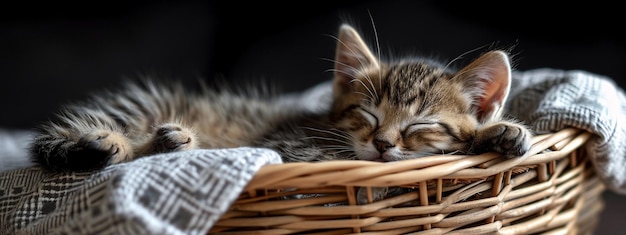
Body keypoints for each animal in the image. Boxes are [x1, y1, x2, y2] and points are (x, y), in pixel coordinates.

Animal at [28, 23, 528, 185]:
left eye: (421, 124)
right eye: (368, 115)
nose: (383, 144)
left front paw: (500, 132)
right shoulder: (298, 151)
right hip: (136, 108)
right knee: (53, 145)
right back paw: (113, 143)